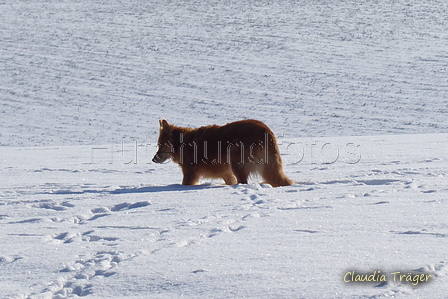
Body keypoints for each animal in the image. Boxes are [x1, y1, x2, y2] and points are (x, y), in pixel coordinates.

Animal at [154, 119, 294, 188]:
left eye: (161, 145)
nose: (153, 159)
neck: (182, 143)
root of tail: (266, 131)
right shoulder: (227, 174)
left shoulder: (190, 174)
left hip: (234, 157)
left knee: (243, 182)